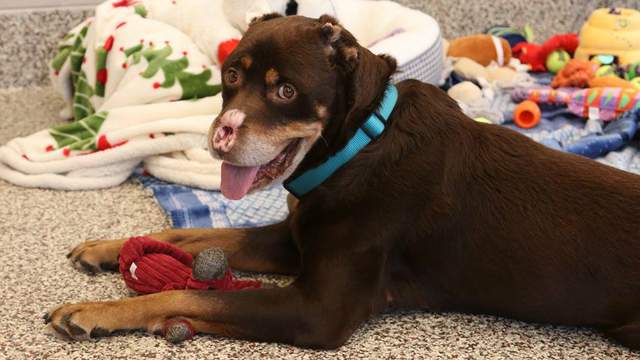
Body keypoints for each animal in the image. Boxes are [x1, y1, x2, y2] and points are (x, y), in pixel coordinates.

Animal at [46, 15, 640, 350]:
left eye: (286, 91)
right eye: (231, 76)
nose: (221, 134)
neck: (361, 144)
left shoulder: (318, 311)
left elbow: (189, 293)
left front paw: (93, 313)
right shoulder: (292, 239)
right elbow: (188, 237)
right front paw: (106, 249)